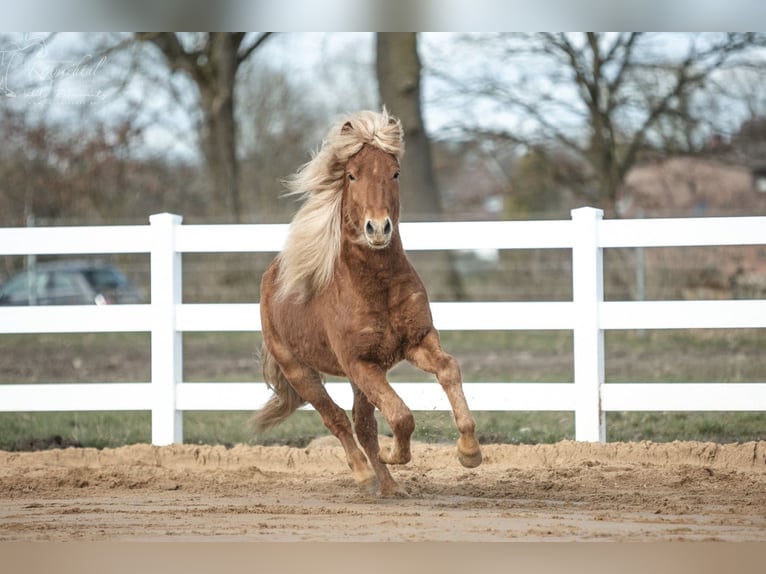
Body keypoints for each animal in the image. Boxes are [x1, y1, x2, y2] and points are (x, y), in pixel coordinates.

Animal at [255, 109, 482, 496]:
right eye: (351, 174)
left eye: (395, 172)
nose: (378, 228)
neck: (378, 287)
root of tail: (272, 276)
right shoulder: (360, 362)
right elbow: (401, 415)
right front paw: (396, 455)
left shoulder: (416, 342)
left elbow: (449, 369)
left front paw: (469, 452)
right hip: (299, 369)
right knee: (336, 419)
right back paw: (363, 474)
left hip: (355, 378)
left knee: (362, 425)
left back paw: (389, 487)